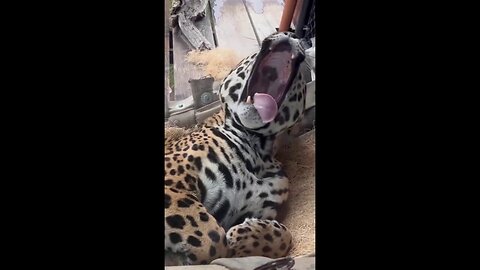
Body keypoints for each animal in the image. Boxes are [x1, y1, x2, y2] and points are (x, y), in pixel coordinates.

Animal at [164, 32, 308, 266]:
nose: (291, 33)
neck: (257, 148)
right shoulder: (174, 179)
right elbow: (212, 236)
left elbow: (286, 236)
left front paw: (247, 234)